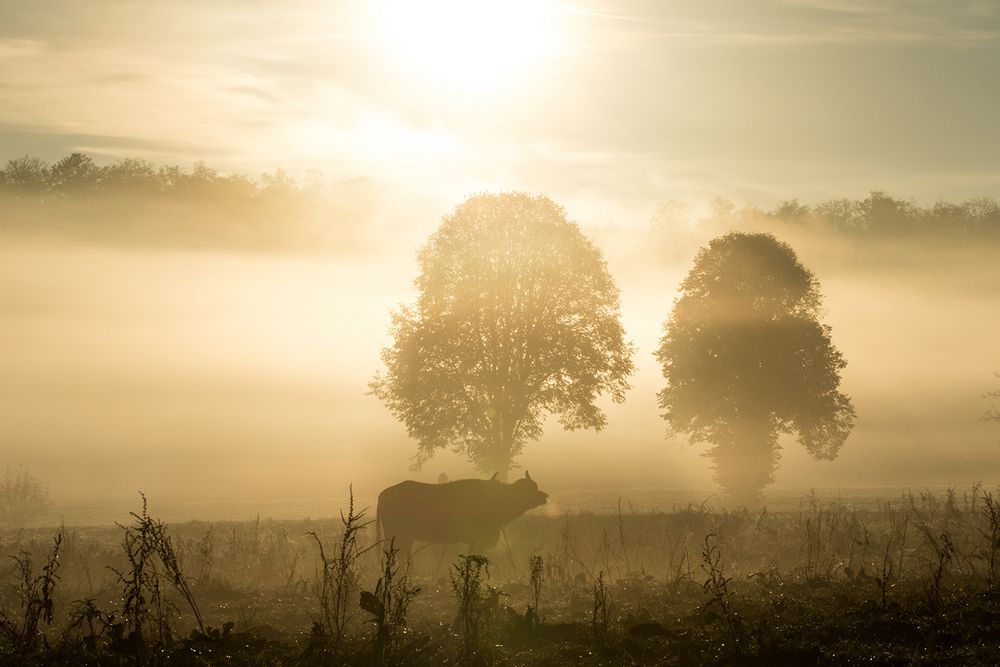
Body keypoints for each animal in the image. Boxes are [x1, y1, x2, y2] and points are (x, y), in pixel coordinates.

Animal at [376, 472, 552, 560]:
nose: (544, 496)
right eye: (531, 487)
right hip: (397, 537)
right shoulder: (477, 541)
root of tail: (384, 494)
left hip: (406, 538)